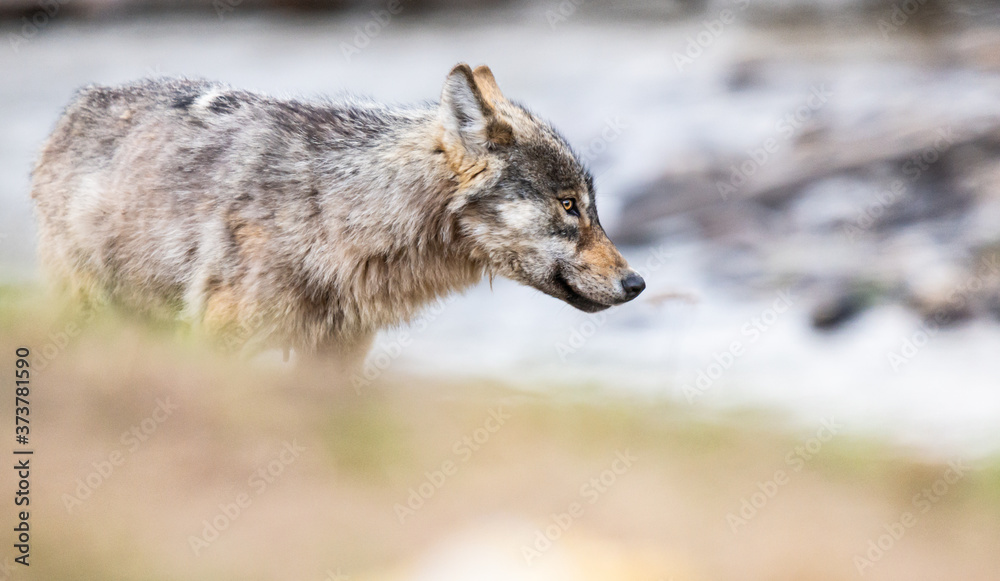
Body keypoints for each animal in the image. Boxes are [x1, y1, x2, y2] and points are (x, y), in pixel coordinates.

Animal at [30, 64, 645, 364]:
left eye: (589, 206)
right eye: (569, 205)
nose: (637, 283)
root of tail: (78, 103)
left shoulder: (338, 356)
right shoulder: (219, 341)